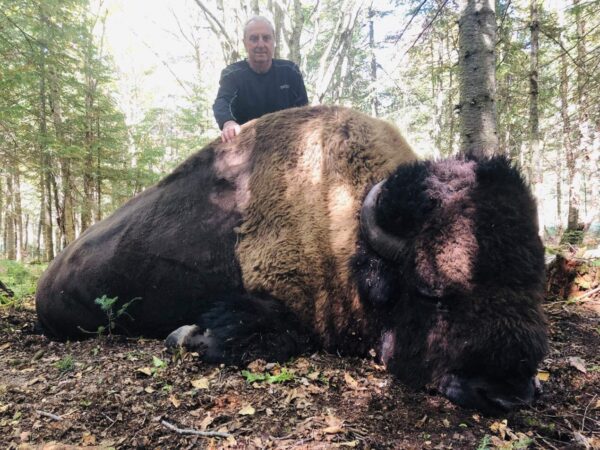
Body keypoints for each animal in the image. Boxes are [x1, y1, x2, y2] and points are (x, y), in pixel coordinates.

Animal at [35, 105, 548, 414]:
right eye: (431, 291)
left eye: (535, 285)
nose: (508, 393)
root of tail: (45, 280)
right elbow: (261, 336)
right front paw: (187, 336)